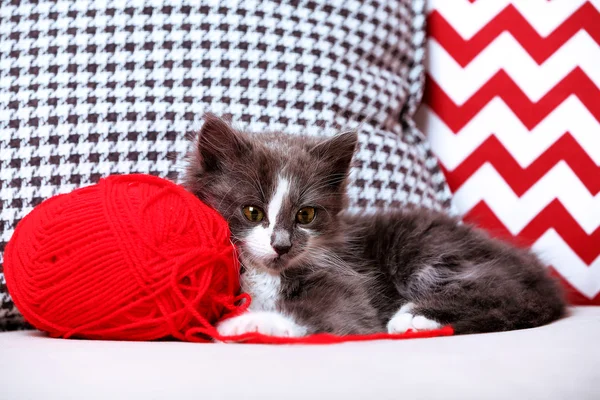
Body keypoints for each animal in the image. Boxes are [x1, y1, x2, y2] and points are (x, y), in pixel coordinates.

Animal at [183, 114, 568, 336]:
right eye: (252, 212)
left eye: (305, 215)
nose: (282, 245)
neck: (269, 273)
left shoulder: (347, 280)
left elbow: (335, 312)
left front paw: (251, 323)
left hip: (429, 251)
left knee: (513, 292)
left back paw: (415, 316)